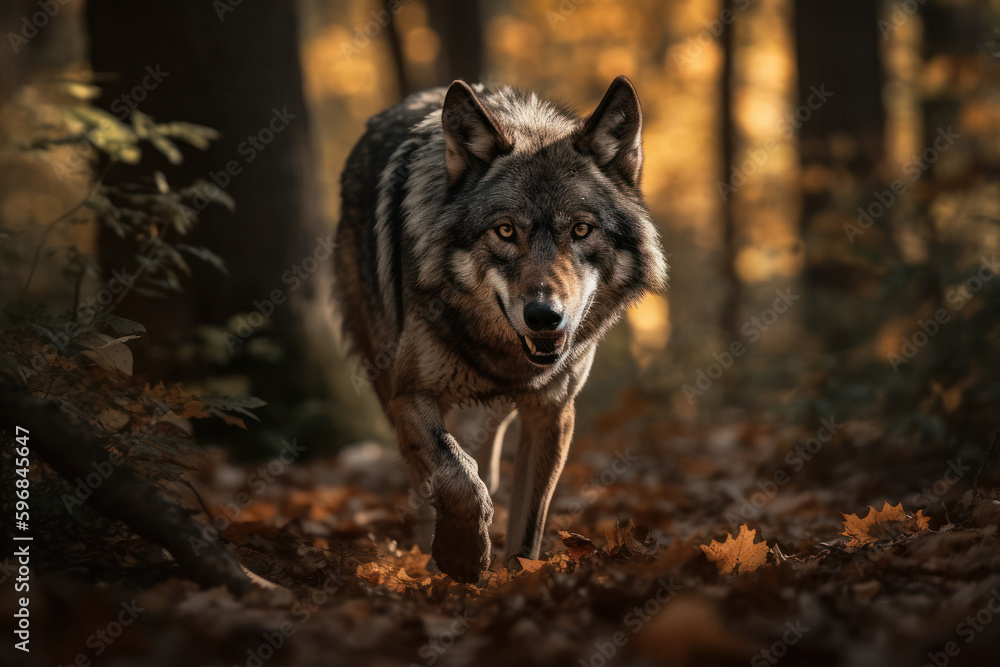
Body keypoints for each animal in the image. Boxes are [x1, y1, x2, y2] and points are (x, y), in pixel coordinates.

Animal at [334, 76, 667, 582]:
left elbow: (528, 523)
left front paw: (514, 578)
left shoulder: (552, 412)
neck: (502, 355)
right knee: (434, 479)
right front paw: (461, 556)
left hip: (493, 415)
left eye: (582, 230)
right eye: (506, 231)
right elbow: (455, 477)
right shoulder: (407, 394)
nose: (544, 315)